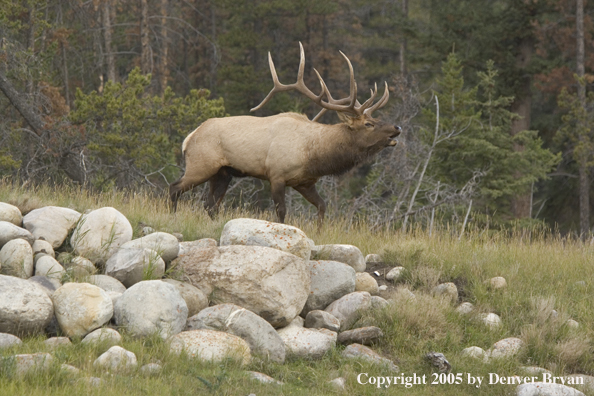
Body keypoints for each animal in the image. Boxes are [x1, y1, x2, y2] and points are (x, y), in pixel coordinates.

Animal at [168, 43, 398, 223]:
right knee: (175, 188)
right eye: (368, 124)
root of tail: (188, 138)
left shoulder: (305, 182)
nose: (397, 128)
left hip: (223, 172)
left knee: (210, 204)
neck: (314, 154)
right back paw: (173, 216)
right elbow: (281, 212)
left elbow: (322, 206)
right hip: (201, 164)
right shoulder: (277, 174)